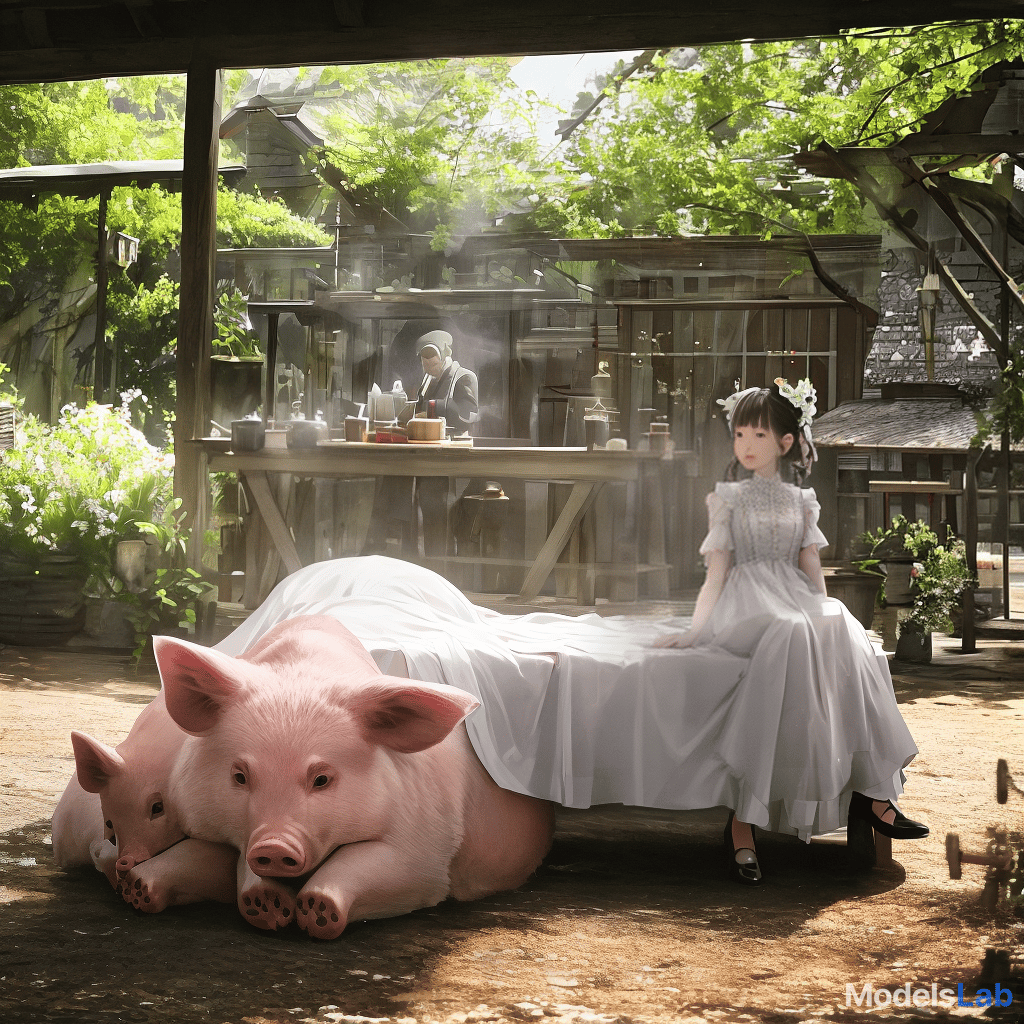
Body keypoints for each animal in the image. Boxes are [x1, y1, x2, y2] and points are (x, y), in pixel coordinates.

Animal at [153, 610, 552, 937]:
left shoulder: (429, 843)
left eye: (322, 779)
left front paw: (318, 911)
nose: (274, 845)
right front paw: (267, 907)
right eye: (240, 776)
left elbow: (377, 866)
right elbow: (238, 862)